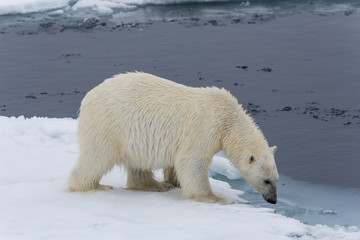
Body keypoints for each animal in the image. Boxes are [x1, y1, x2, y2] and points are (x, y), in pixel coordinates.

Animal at [69, 71, 280, 204]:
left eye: (276, 179)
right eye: (266, 180)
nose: (273, 200)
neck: (227, 117)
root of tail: (87, 98)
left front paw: (175, 182)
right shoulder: (205, 126)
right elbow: (191, 160)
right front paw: (217, 198)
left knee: (137, 164)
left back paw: (156, 185)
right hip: (108, 124)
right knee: (97, 156)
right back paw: (93, 187)